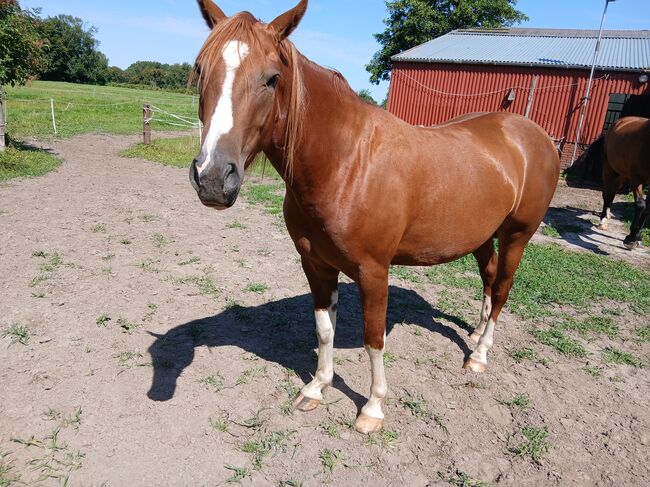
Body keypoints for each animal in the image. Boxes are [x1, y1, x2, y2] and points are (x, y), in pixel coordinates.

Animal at [189, 0, 560, 434]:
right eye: (201, 69)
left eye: (272, 78)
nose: (213, 178)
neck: (346, 163)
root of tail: (534, 134)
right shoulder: (315, 264)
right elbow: (325, 329)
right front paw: (317, 388)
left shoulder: (373, 272)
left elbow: (373, 339)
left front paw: (373, 408)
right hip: (482, 235)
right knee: (488, 278)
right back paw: (476, 330)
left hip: (518, 234)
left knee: (501, 288)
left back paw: (480, 354)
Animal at [594, 116, 650, 249]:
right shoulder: (636, 178)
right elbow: (640, 204)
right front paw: (631, 238)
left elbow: (647, 209)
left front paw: (638, 236)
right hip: (608, 170)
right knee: (607, 194)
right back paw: (603, 221)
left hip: (622, 174)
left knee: (612, 192)